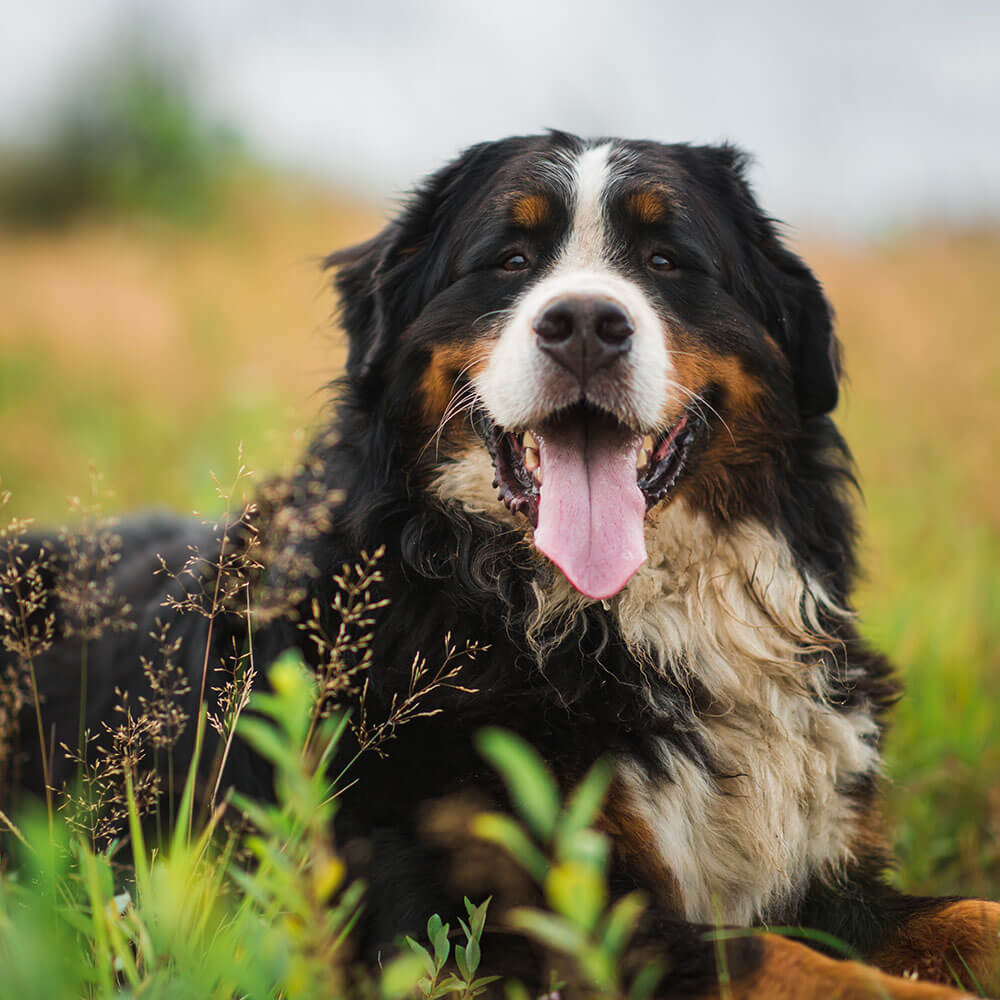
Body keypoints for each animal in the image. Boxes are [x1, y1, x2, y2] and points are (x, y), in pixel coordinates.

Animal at [1, 135, 1000, 1000]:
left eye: (667, 259)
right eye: (511, 260)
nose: (587, 323)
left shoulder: (828, 877)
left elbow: (969, 915)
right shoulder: (495, 916)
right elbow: (786, 962)